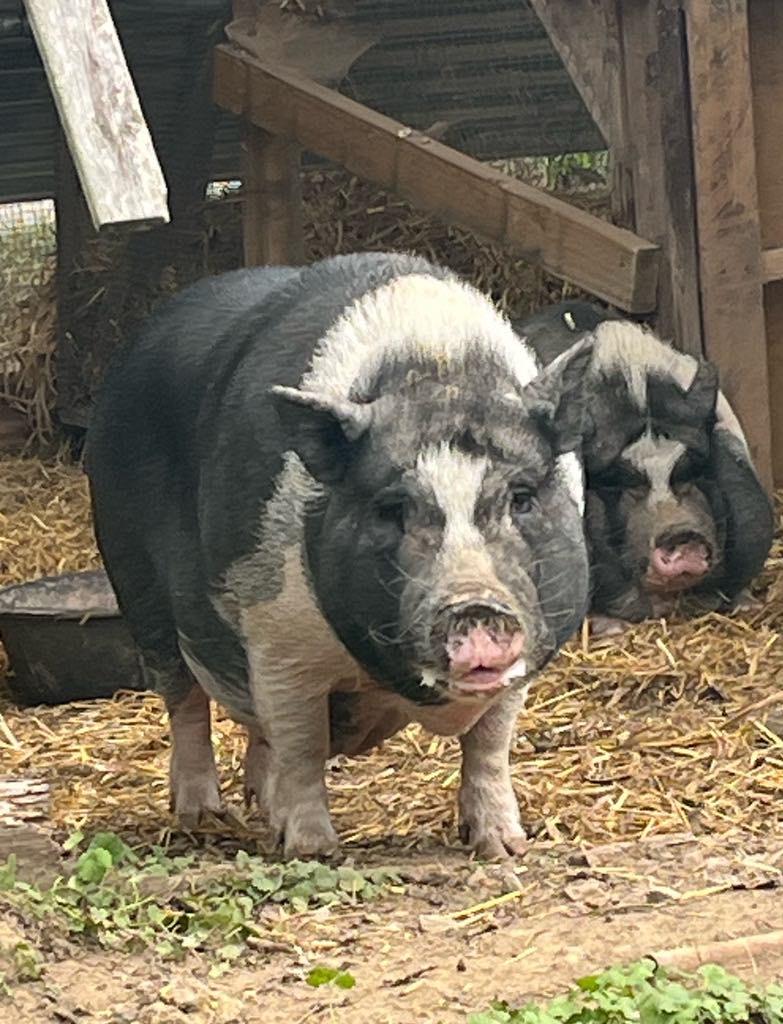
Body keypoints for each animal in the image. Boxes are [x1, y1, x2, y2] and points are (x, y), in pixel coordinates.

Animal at [86, 253, 593, 860]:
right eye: (391, 508)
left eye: (521, 498)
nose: (475, 605)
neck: (435, 364)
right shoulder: (276, 635)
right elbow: (302, 743)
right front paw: (311, 849)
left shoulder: (522, 665)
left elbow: (490, 747)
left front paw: (505, 847)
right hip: (134, 580)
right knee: (185, 703)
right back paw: (204, 815)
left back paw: (260, 806)